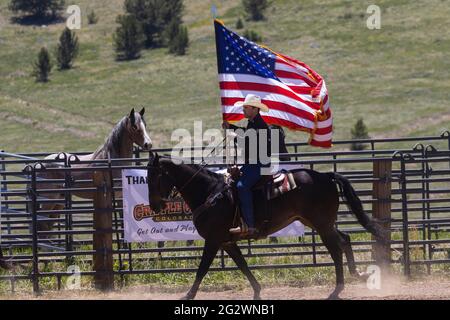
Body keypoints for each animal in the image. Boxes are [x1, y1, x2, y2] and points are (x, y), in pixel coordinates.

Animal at [146, 154, 384, 298]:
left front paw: (188, 295)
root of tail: (325, 176)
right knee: (345, 239)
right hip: (320, 222)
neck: (210, 192)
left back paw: (337, 289)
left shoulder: (213, 241)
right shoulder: (227, 242)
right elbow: (243, 265)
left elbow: (202, 268)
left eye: (154, 176)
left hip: (321, 223)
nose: (155, 206)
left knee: (335, 249)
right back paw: (358, 274)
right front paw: (257, 291)